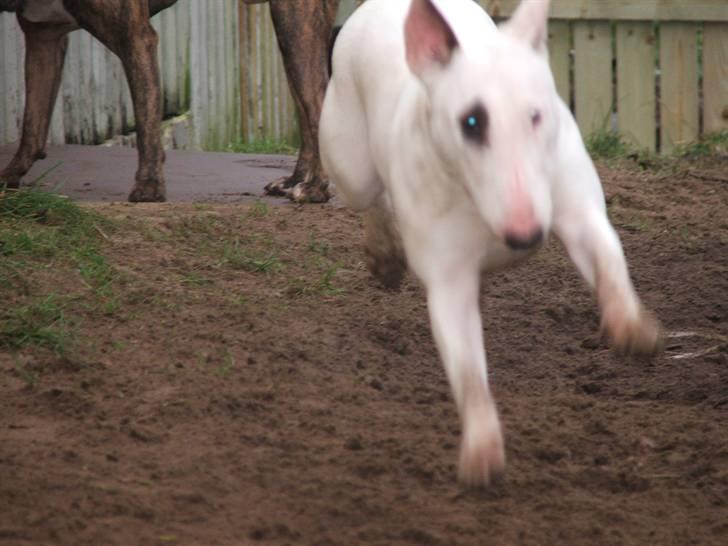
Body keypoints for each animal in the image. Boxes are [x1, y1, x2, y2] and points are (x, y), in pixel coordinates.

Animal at [0, 0, 342, 202]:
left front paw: (148, 188)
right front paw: (10, 175)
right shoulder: (44, 38)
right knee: (308, 110)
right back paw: (295, 180)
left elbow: (145, 120)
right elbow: (32, 124)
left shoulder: (135, 35)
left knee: (316, 105)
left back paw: (314, 190)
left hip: (292, 22)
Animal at [318, 0, 660, 484]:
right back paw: (385, 259)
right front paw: (481, 455)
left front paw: (633, 331)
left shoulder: (578, 208)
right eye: (471, 122)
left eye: (535, 115)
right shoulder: (447, 276)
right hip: (349, 160)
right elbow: (467, 369)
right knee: (370, 197)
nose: (526, 234)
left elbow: (608, 258)